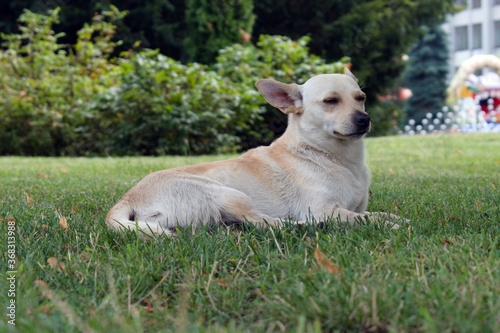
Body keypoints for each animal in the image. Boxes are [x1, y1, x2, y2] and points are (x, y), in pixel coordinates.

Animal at [107, 67, 404, 235]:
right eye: (331, 101)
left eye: (361, 99)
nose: (364, 119)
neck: (336, 158)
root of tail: (127, 198)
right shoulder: (325, 210)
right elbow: (361, 220)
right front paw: (388, 225)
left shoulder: (354, 207)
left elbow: (371, 214)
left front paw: (389, 217)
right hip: (230, 194)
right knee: (266, 224)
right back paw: (308, 227)